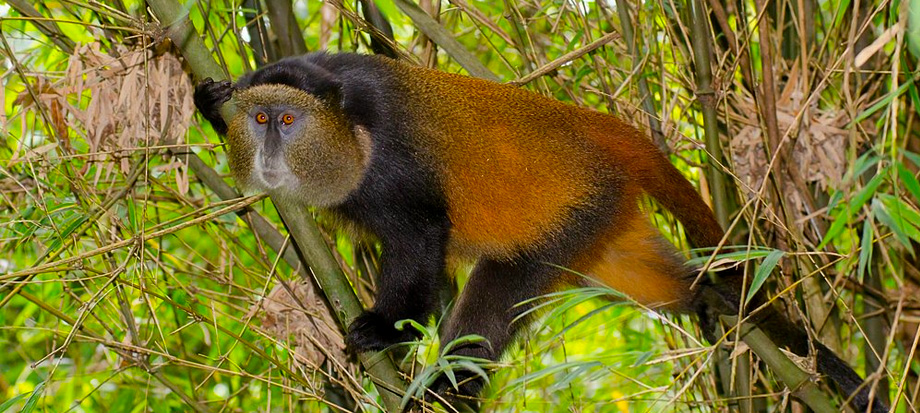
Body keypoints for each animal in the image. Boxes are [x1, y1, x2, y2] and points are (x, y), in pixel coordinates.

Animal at [194, 52, 888, 412]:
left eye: (286, 120)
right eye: (258, 119)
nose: (268, 146)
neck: (346, 126)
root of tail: (597, 129)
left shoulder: (392, 165)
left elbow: (422, 242)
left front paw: (384, 330)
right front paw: (210, 103)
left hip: (573, 215)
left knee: (491, 308)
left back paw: (444, 394)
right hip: (601, 226)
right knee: (660, 281)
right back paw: (708, 296)